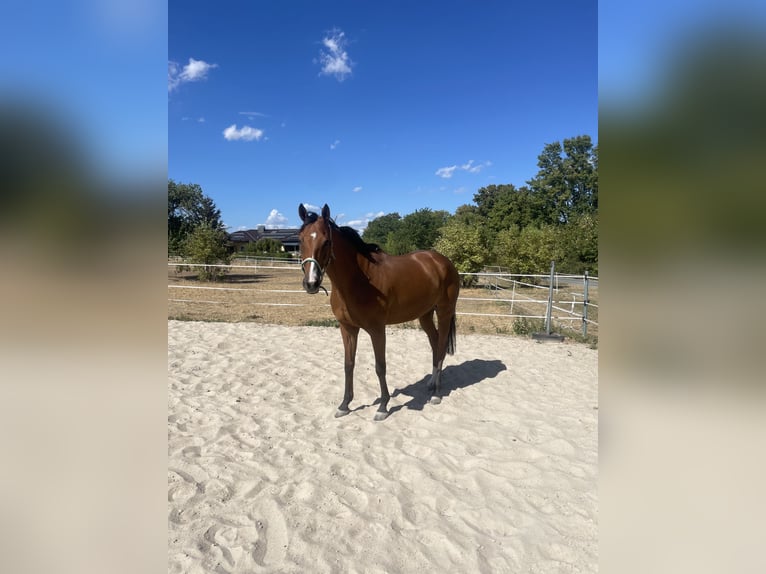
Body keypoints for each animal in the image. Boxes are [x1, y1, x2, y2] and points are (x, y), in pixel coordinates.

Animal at [296, 205, 460, 420]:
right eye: (300, 240)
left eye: (327, 242)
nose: (311, 283)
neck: (359, 280)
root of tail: (443, 261)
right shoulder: (347, 329)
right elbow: (348, 365)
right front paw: (344, 405)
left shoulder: (377, 330)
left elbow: (380, 366)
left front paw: (383, 406)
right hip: (424, 315)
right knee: (434, 342)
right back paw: (431, 384)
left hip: (444, 312)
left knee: (440, 346)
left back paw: (437, 394)